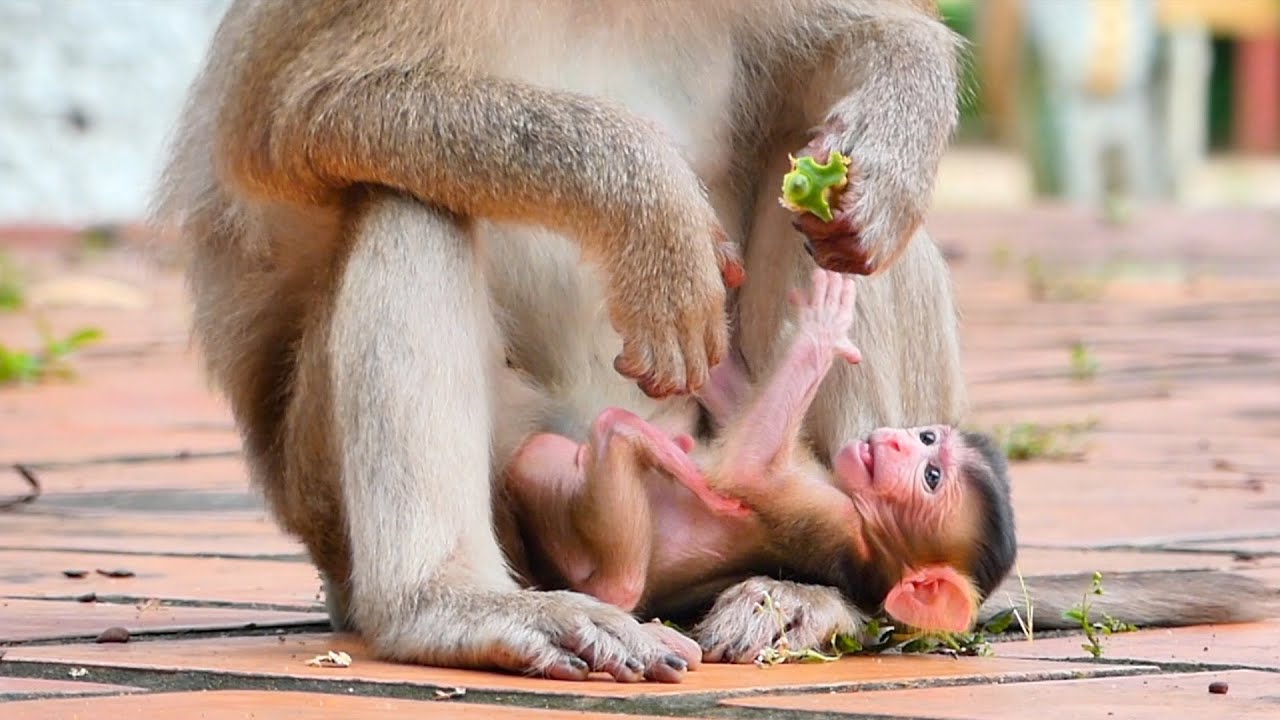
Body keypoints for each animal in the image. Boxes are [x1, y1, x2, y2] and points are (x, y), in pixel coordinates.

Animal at [500, 269, 1015, 636]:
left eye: (931, 477)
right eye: (927, 439)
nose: (894, 440)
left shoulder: (840, 525)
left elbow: (747, 472)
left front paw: (820, 331)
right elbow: (736, 405)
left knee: (614, 579)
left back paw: (630, 441)